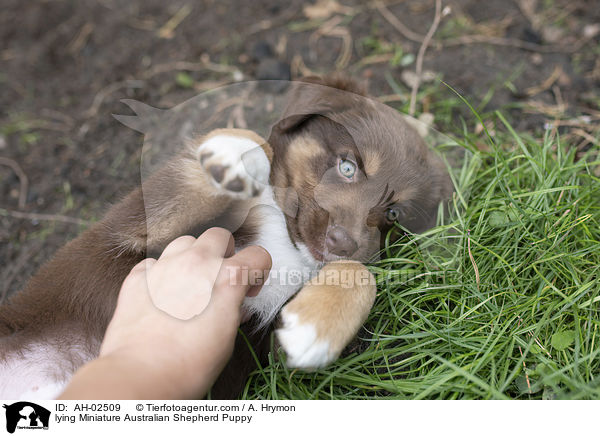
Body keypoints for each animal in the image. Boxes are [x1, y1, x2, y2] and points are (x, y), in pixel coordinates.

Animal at [0, 76, 450, 398]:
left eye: (392, 213)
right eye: (347, 167)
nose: (343, 243)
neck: (288, 239)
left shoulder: (253, 343)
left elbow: (362, 274)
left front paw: (313, 330)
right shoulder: (128, 233)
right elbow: (254, 147)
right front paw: (234, 155)